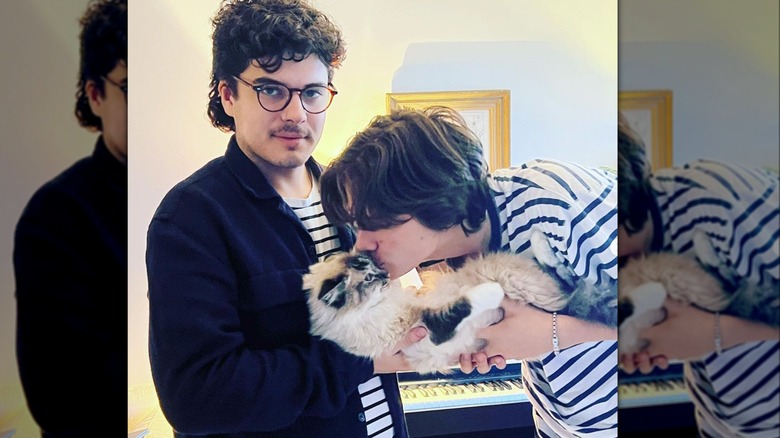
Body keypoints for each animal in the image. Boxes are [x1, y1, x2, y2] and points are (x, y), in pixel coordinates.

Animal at [304, 229, 616, 372]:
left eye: (376, 269)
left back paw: (540, 240)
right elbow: (465, 302)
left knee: (559, 273)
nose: (386, 276)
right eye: (368, 279)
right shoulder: (435, 326)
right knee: (564, 284)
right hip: (531, 290)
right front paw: (490, 291)